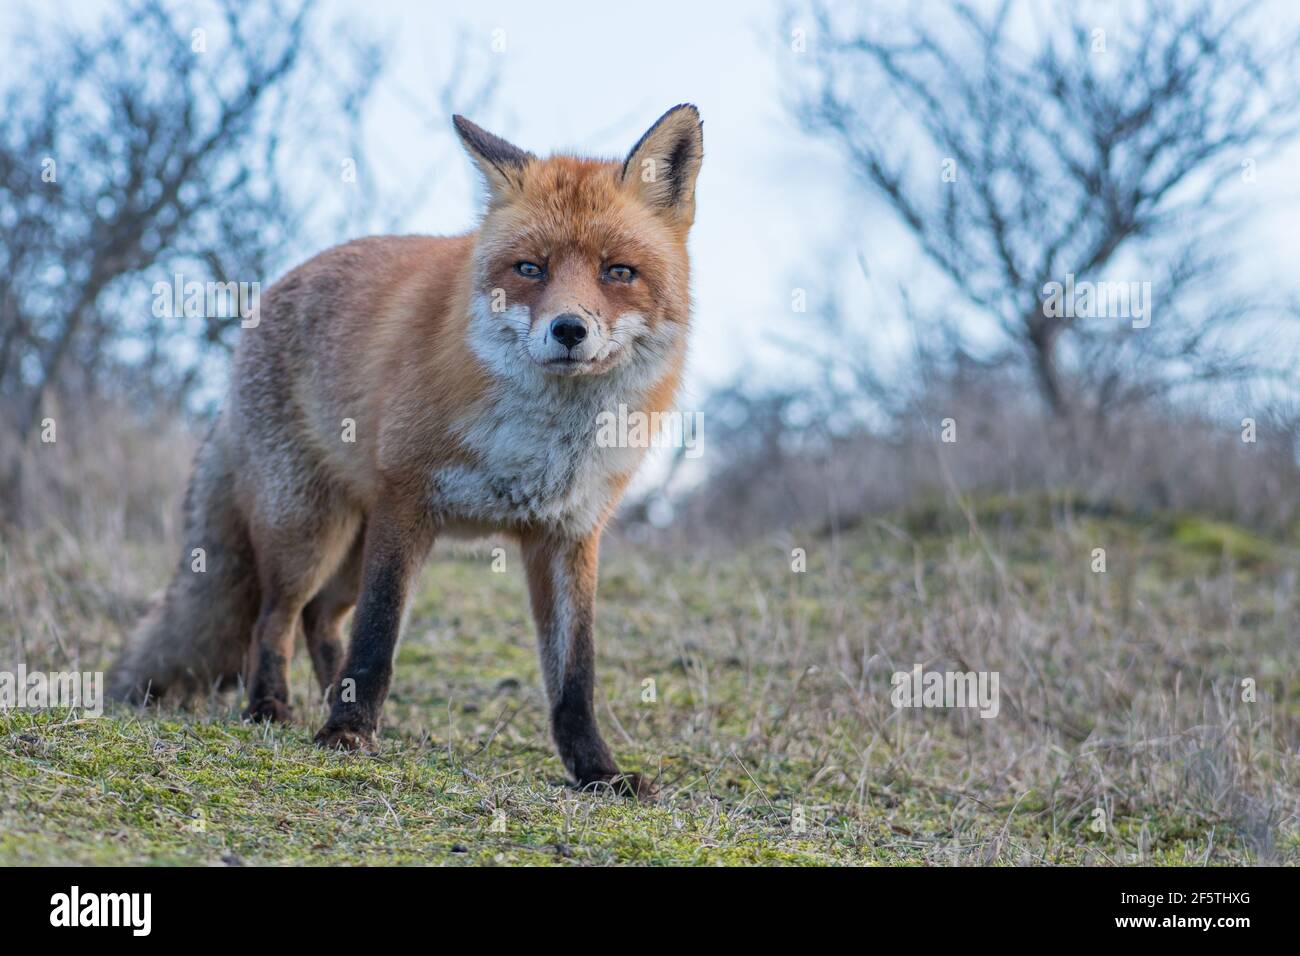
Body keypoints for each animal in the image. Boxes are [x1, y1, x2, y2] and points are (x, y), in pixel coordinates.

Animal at [109, 104, 702, 796]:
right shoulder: (407, 502)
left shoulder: (570, 534)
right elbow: (378, 634)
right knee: (275, 616)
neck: (542, 444)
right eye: (531, 269)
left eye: (618, 272)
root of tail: (268, 295)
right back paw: (271, 708)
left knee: (320, 620)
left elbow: (574, 678)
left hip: (347, 550)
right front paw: (345, 734)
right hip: (311, 531)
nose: (569, 329)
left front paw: (597, 772)